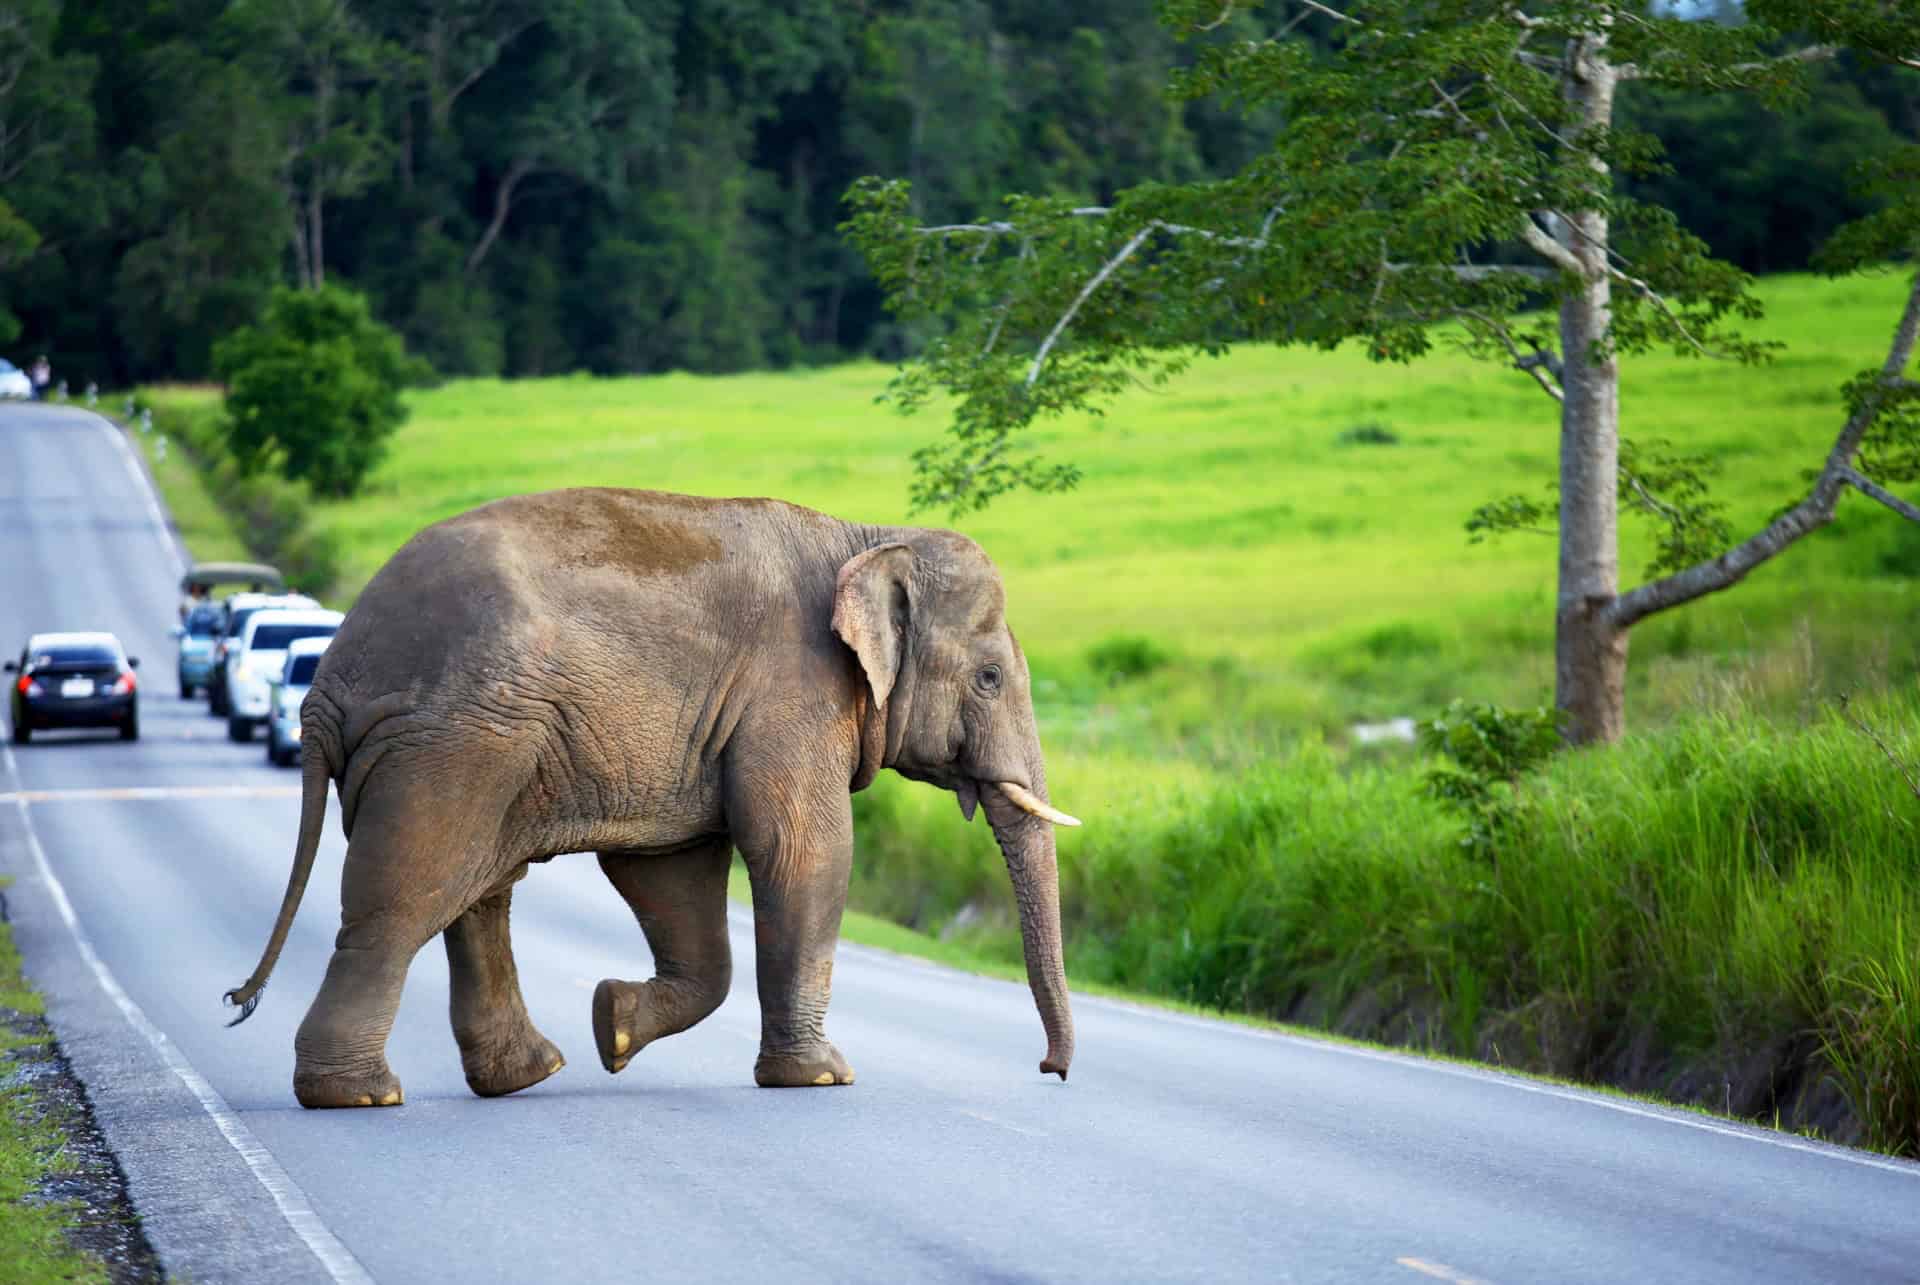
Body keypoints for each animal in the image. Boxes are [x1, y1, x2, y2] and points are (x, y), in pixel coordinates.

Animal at [224, 480, 1082, 1106]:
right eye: (990, 676)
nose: (1052, 1070)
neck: (866, 536)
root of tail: (328, 683)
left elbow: (673, 874)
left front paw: (613, 1022)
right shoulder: (792, 691)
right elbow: (803, 850)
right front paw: (822, 1077)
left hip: (477, 741)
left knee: (478, 890)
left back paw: (527, 1074)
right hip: (450, 739)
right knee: (407, 895)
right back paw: (359, 1096)